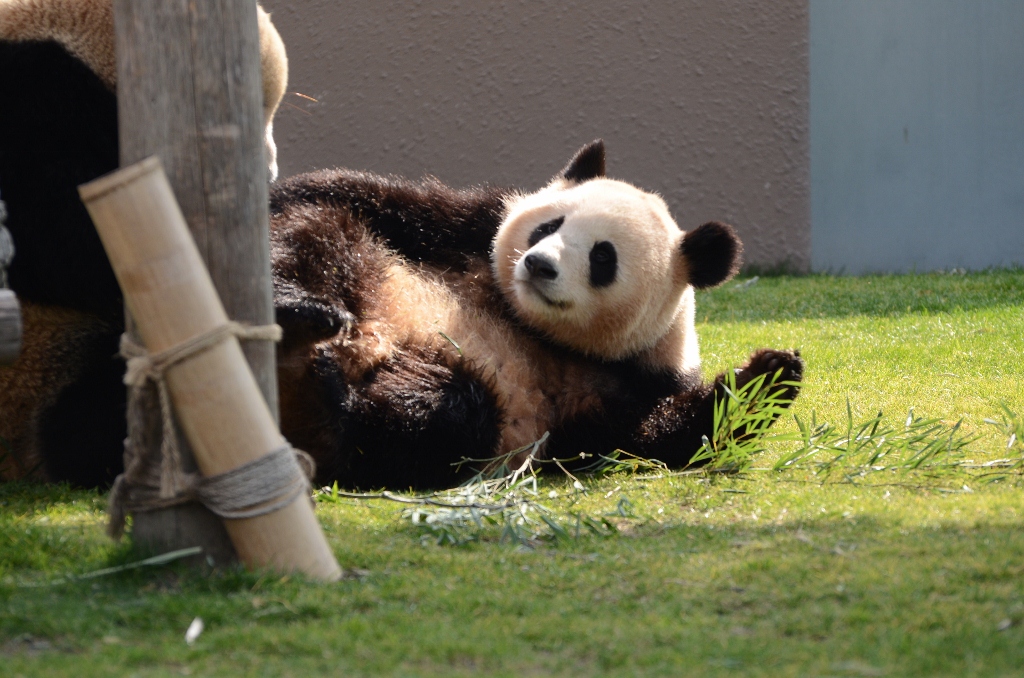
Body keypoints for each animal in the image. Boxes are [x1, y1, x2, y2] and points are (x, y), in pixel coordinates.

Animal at [272, 140, 806, 491]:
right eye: (549, 226)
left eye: (602, 257)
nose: (539, 265)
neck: (527, 322)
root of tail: (364, 341)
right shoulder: (470, 228)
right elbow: (368, 196)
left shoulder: (632, 382)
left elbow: (658, 433)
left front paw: (771, 373)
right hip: (375, 275)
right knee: (321, 241)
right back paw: (300, 310)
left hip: (453, 390)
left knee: (442, 412)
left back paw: (327, 403)